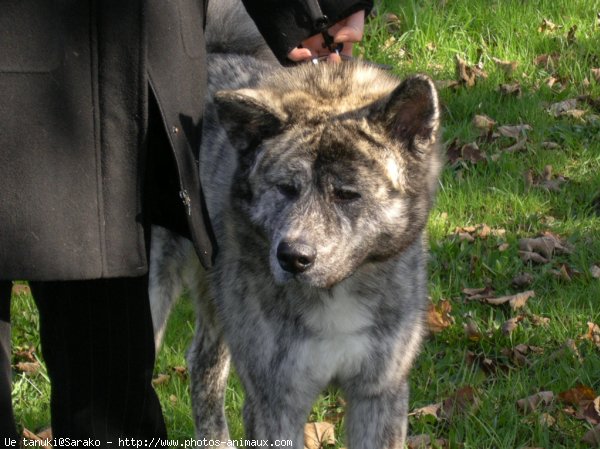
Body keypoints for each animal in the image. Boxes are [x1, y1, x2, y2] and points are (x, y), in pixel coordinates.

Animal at [149, 1, 440, 446]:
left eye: (346, 193)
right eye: (286, 188)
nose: (293, 257)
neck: (338, 292)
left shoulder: (379, 394)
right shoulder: (276, 402)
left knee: (202, 361)